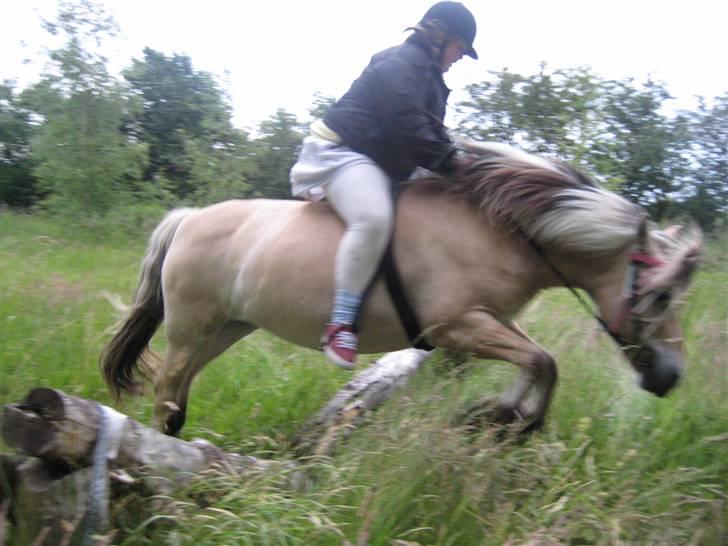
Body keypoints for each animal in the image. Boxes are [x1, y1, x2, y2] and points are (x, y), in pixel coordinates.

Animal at [99, 140, 704, 434]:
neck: (501, 229)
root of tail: (188, 219)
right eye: (659, 296)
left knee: (178, 388)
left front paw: (501, 415)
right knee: (167, 385)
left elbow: (539, 361)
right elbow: (542, 362)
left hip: (227, 327)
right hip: (190, 325)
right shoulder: (458, 326)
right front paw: (508, 419)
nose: (672, 377)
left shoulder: (490, 322)